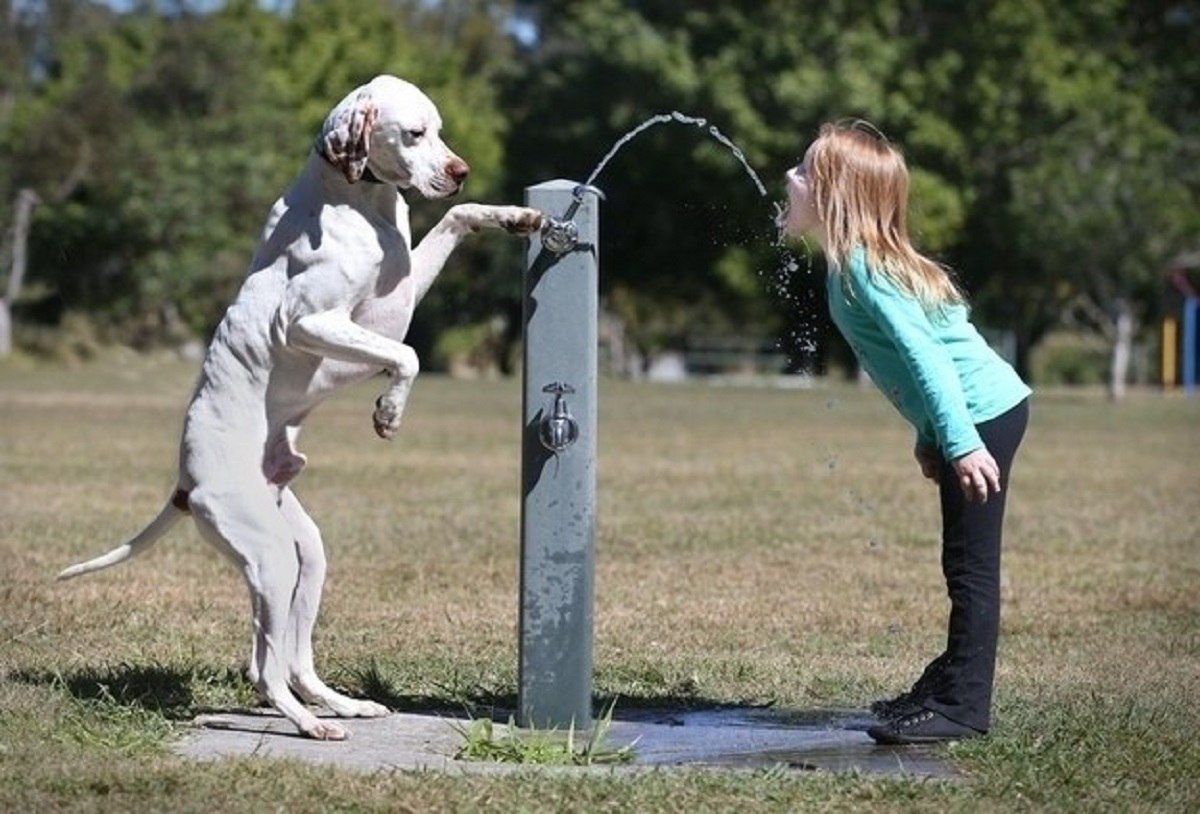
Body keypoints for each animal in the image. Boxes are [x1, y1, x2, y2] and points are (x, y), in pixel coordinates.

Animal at [56, 76, 544, 744]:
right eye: (413, 133)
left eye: (440, 130)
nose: (460, 170)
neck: (357, 200)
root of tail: (185, 483)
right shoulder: (313, 322)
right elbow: (409, 355)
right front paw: (389, 411)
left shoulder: (399, 295)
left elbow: (455, 218)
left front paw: (515, 217)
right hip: (270, 559)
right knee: (263, 667)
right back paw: (311, 725)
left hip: (304, 556)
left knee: (293, 659)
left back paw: (340, 706)